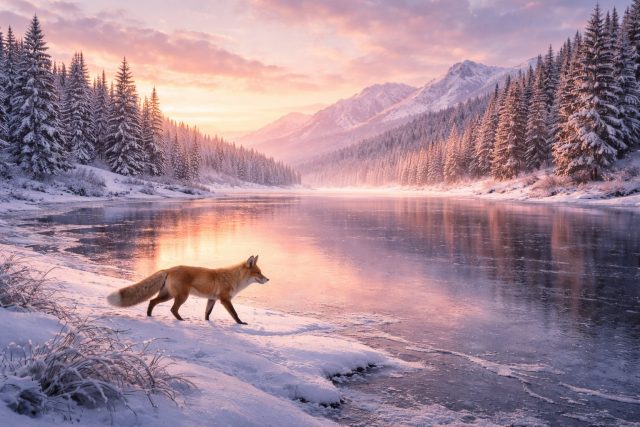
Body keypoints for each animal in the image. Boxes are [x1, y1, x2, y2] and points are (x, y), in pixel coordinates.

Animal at [106, 255, 269, 324]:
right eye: (258, 273)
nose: (268, 279)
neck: (233, 278)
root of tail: (169, 269)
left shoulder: (212, 299)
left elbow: (207, 314)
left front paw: (208, 323)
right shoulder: (224, 300)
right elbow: (235, 314)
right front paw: (241, 323)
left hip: (168, 295)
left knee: (152, 301)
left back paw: (149, 316)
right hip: (182, 297)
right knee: (172, 309)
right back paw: (181, 320)